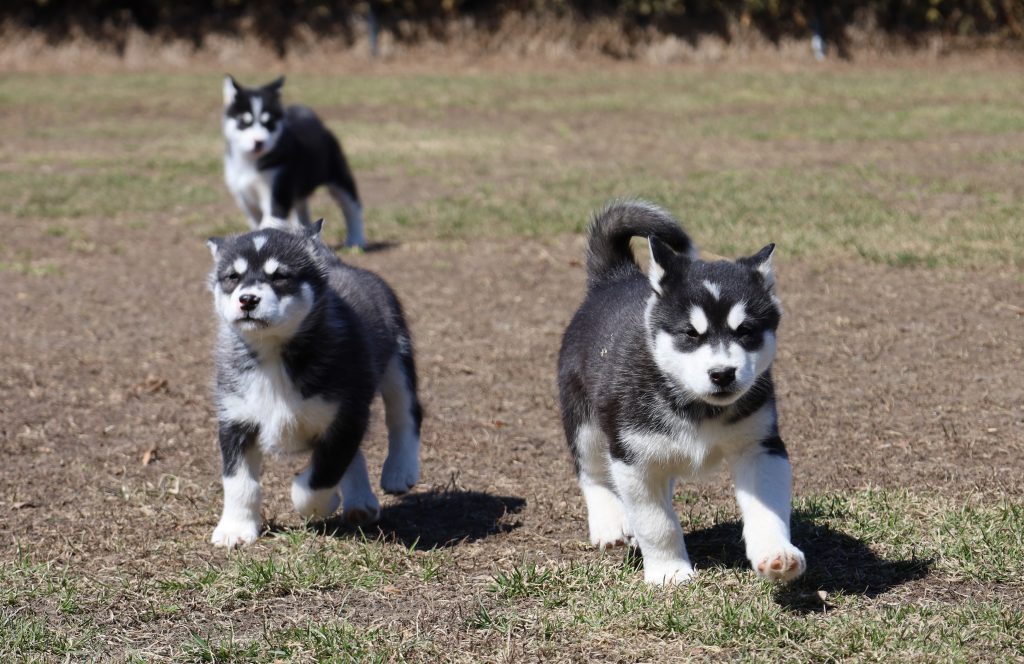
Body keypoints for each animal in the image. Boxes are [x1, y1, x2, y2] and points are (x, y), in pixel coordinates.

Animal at [205, 220, 417, 549]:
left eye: (280, 276)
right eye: (232, 277)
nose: (248, 299)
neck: (273, 353)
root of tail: (342, 264)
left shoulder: (346, 416)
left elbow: (320, 476)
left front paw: (323, 504)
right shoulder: (235, 418)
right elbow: (238, 481)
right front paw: (235, 528)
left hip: (398, 360)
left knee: (404, 416)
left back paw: (399, 469)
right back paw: (360, 501)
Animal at [222, 73, 366, 249]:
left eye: (269, 123)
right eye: (244, 122)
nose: (259, 142)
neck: (252, 162)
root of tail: (314, 119)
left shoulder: (278, 192)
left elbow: (268, 225)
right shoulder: (244, 197)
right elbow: (256, 225)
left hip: (339, 175)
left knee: (352, 206)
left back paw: (356, 239)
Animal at [557, 199, 802, 582]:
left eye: (745, 331)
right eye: (690, 333)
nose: (722, 373)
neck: (697, 406)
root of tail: (615, 279)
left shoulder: (760, 446)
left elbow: (768, 509)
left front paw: (777, 555)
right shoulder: (632, 458)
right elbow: (656, 522)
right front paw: (669, 573)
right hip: (584, 421)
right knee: (592, 471)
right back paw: (610, 523)